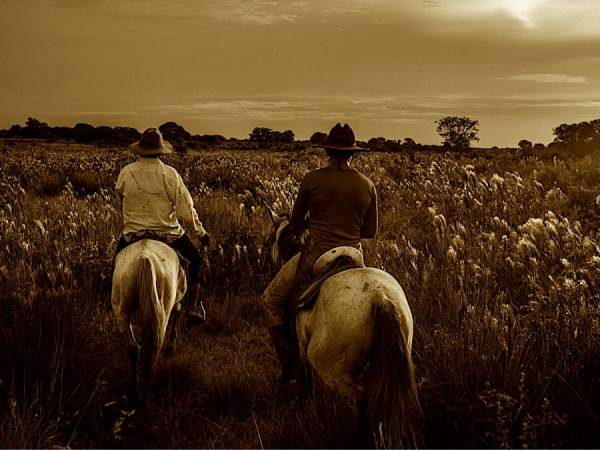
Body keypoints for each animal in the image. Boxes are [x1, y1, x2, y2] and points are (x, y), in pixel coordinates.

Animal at [112, 239, 188, 404]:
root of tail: (144, 257)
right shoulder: (177, 298)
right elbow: (178, 310)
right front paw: (171, 346)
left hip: (121, 311)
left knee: (134, 348)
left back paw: (134, 392)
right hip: (163, 310)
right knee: (155, 346)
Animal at [264, 207, 424, 446]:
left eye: (275, 238)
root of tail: (381, 299)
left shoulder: (301, 347)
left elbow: (305, 378)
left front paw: (301, 402)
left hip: (331, 366)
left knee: (364, 397)